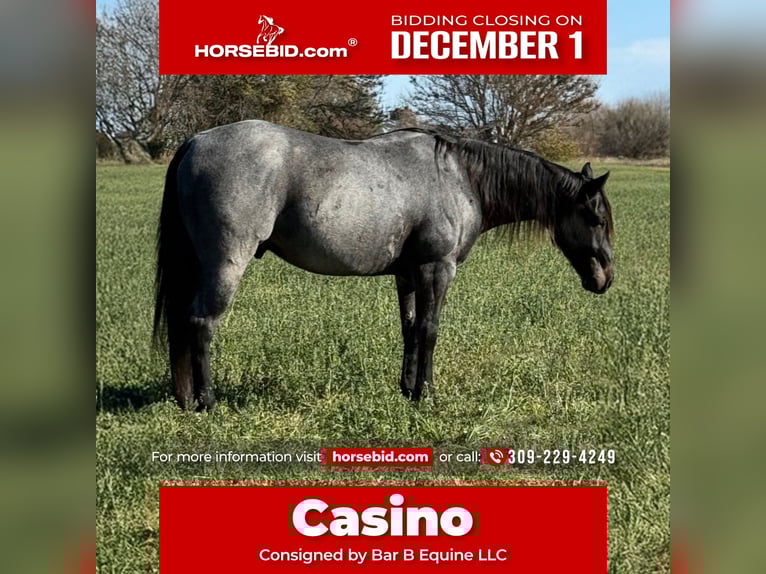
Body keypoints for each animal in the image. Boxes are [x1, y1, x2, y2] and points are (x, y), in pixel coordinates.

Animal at [153, 120, 614, 411]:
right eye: (595, 218)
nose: (605, 278)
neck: (460, 177)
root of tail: (196, 140)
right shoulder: (436, 269)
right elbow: (429, 330)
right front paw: (427, 394)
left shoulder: (408, 274)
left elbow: (409, 330)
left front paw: (407, 390)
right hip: (226, 262)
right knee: (201, 323)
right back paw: (207, 401)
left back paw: (187, 398)